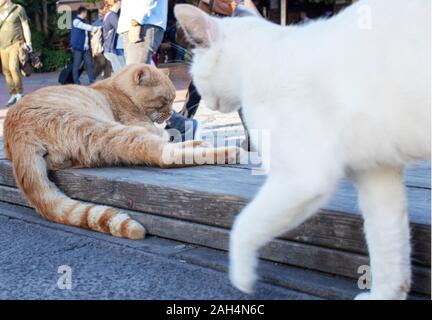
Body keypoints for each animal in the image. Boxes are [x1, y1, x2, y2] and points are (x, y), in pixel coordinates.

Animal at [2, 65, 240, 239]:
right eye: (164, 100)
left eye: (174, 99)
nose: (172, 113)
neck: (117, 89)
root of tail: (16, 132)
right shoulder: (144, 126)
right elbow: (163, 136)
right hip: (108, 129)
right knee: (162, 155)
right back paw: (225, 150)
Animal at [174, 0, 430, 300]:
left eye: (194, 74)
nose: (205, 101)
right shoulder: (377, 175)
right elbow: (387, 243)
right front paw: (384, 295)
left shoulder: (303, 177)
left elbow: (244, 225)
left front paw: (242, 277)